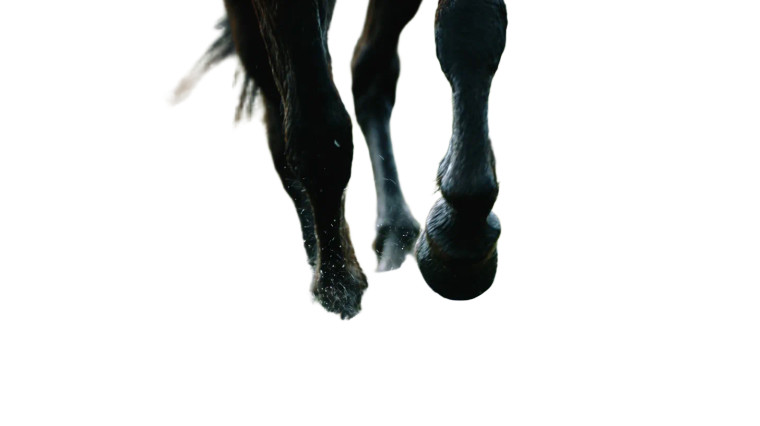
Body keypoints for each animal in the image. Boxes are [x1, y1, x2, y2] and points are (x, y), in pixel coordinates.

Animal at [174, 0, 507, 319]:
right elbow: (319, 126)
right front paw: (337, 283)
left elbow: (469, 26)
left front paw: (461, 237)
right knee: (275, 99)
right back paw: (322, 253)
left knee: (370, 74)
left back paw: (395, 234)